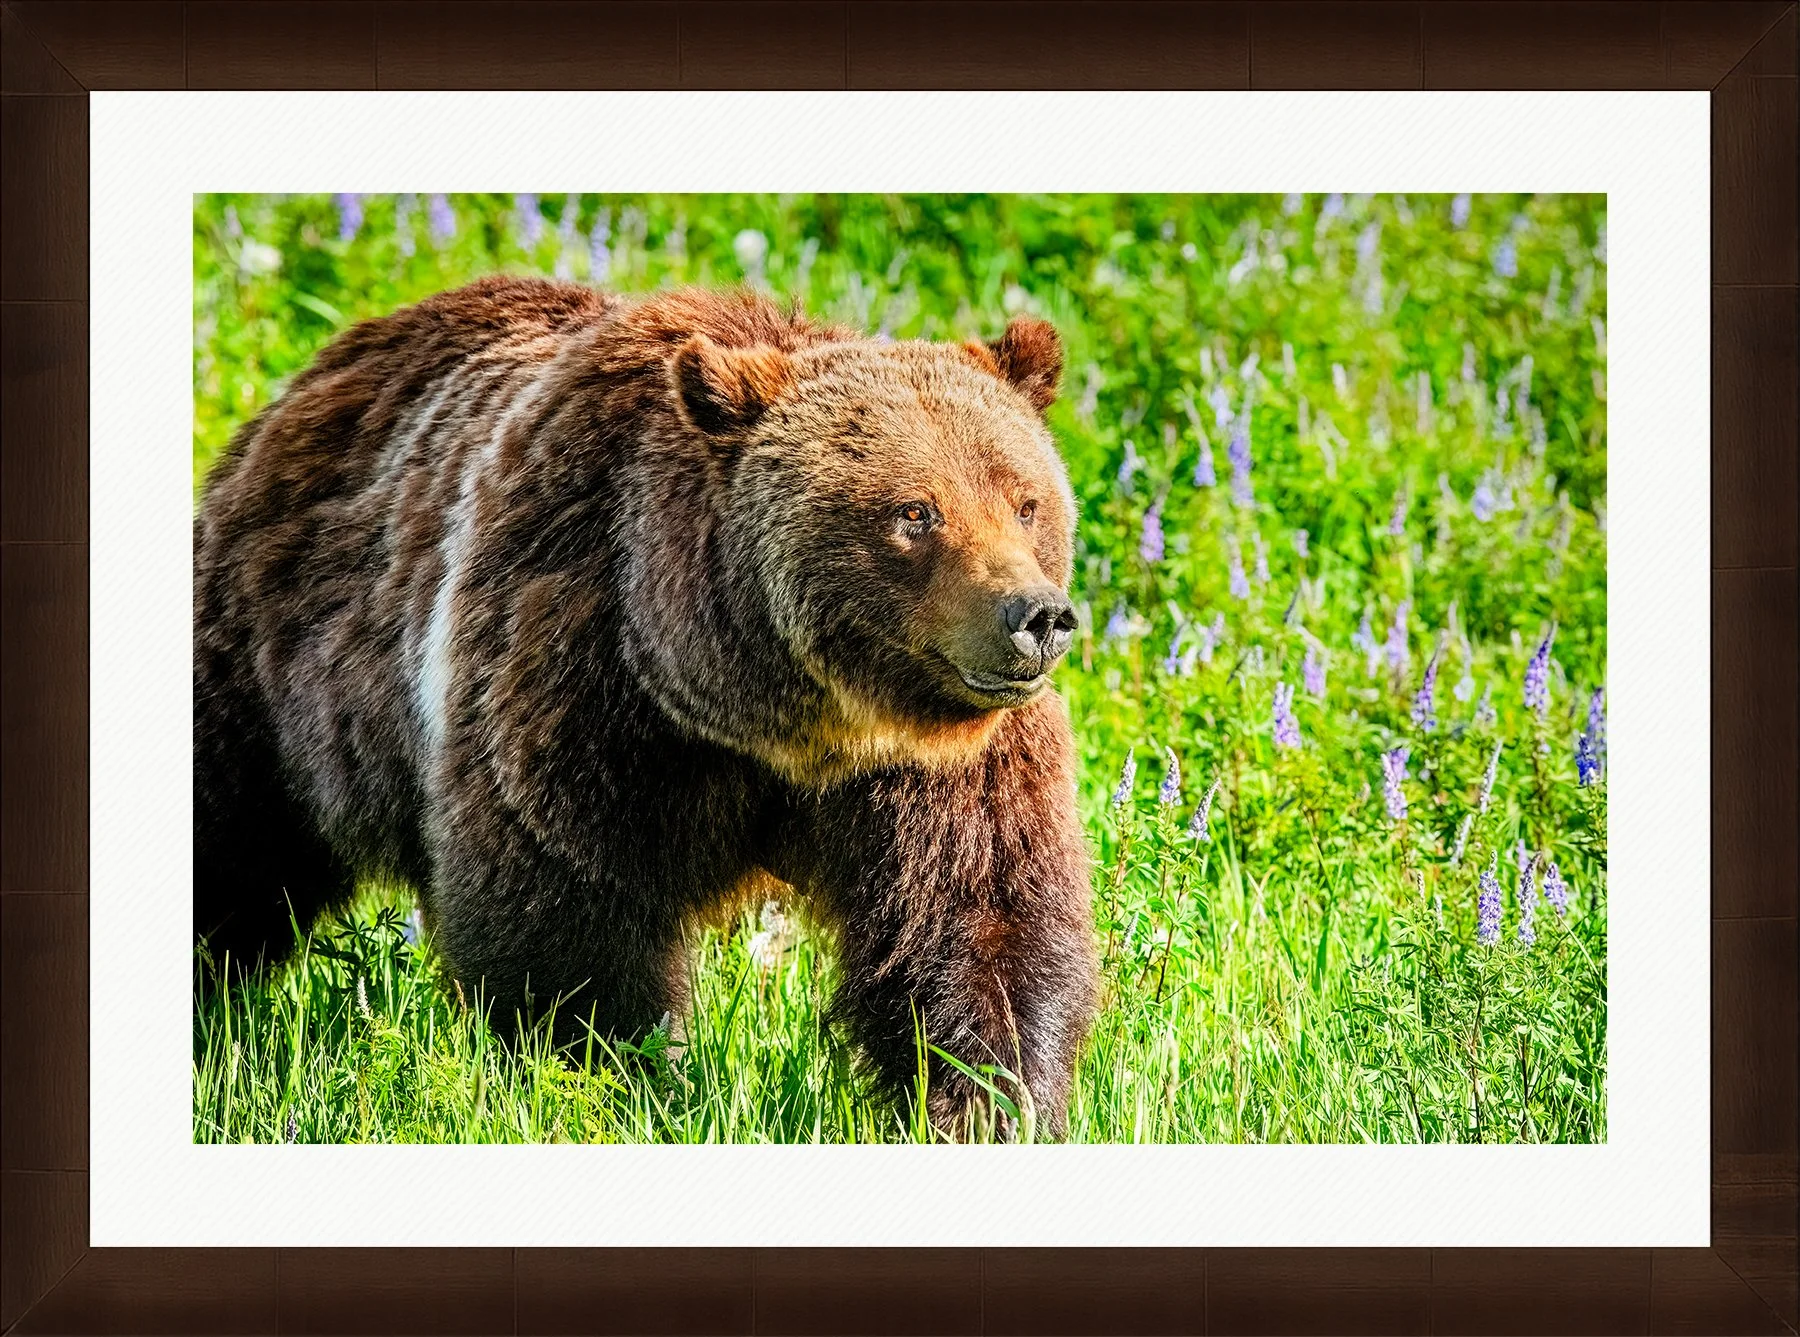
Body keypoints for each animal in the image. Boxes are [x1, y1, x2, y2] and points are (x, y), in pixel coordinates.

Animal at [194, 276, 1099, 1138]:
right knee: (232, 841)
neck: (777, 715)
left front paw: (990, 1104)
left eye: (1025, 501)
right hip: (273, 670)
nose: (1036, 615)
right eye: (915, 511)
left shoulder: (941, 764)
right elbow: (569, 922)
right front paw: (616, 1080)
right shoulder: (585, 685)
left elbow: (979, 924)